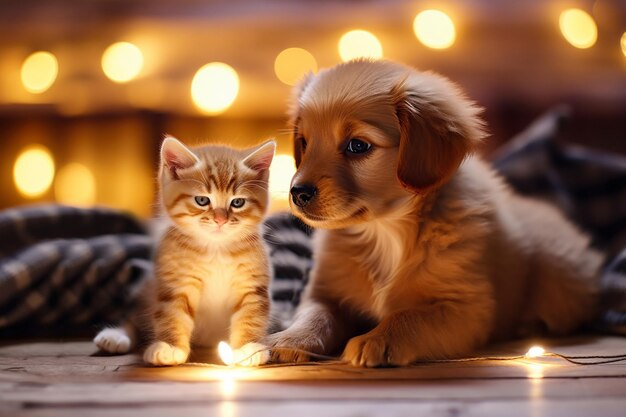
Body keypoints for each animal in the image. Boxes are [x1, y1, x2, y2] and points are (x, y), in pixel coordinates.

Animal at [94, 136, 274, 364]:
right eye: (202, 200)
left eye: (238, 202)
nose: (220, 220)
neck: (216, 249)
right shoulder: (175, 282)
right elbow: (172, 313)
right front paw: (170, 346)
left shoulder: (252, 283)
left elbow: (251, 313)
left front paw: (248, 348)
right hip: (147, 289)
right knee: (133, 320)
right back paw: (114, 336)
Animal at [262, 60, 600, 366]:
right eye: (304, 142)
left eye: (357, 146)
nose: (298, 192)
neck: (384, 232)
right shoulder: (325, 293)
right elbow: (315, 316)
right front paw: (287, 339)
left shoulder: (465, 307)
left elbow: (410, 316)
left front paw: (377, 338)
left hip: (560, 279)